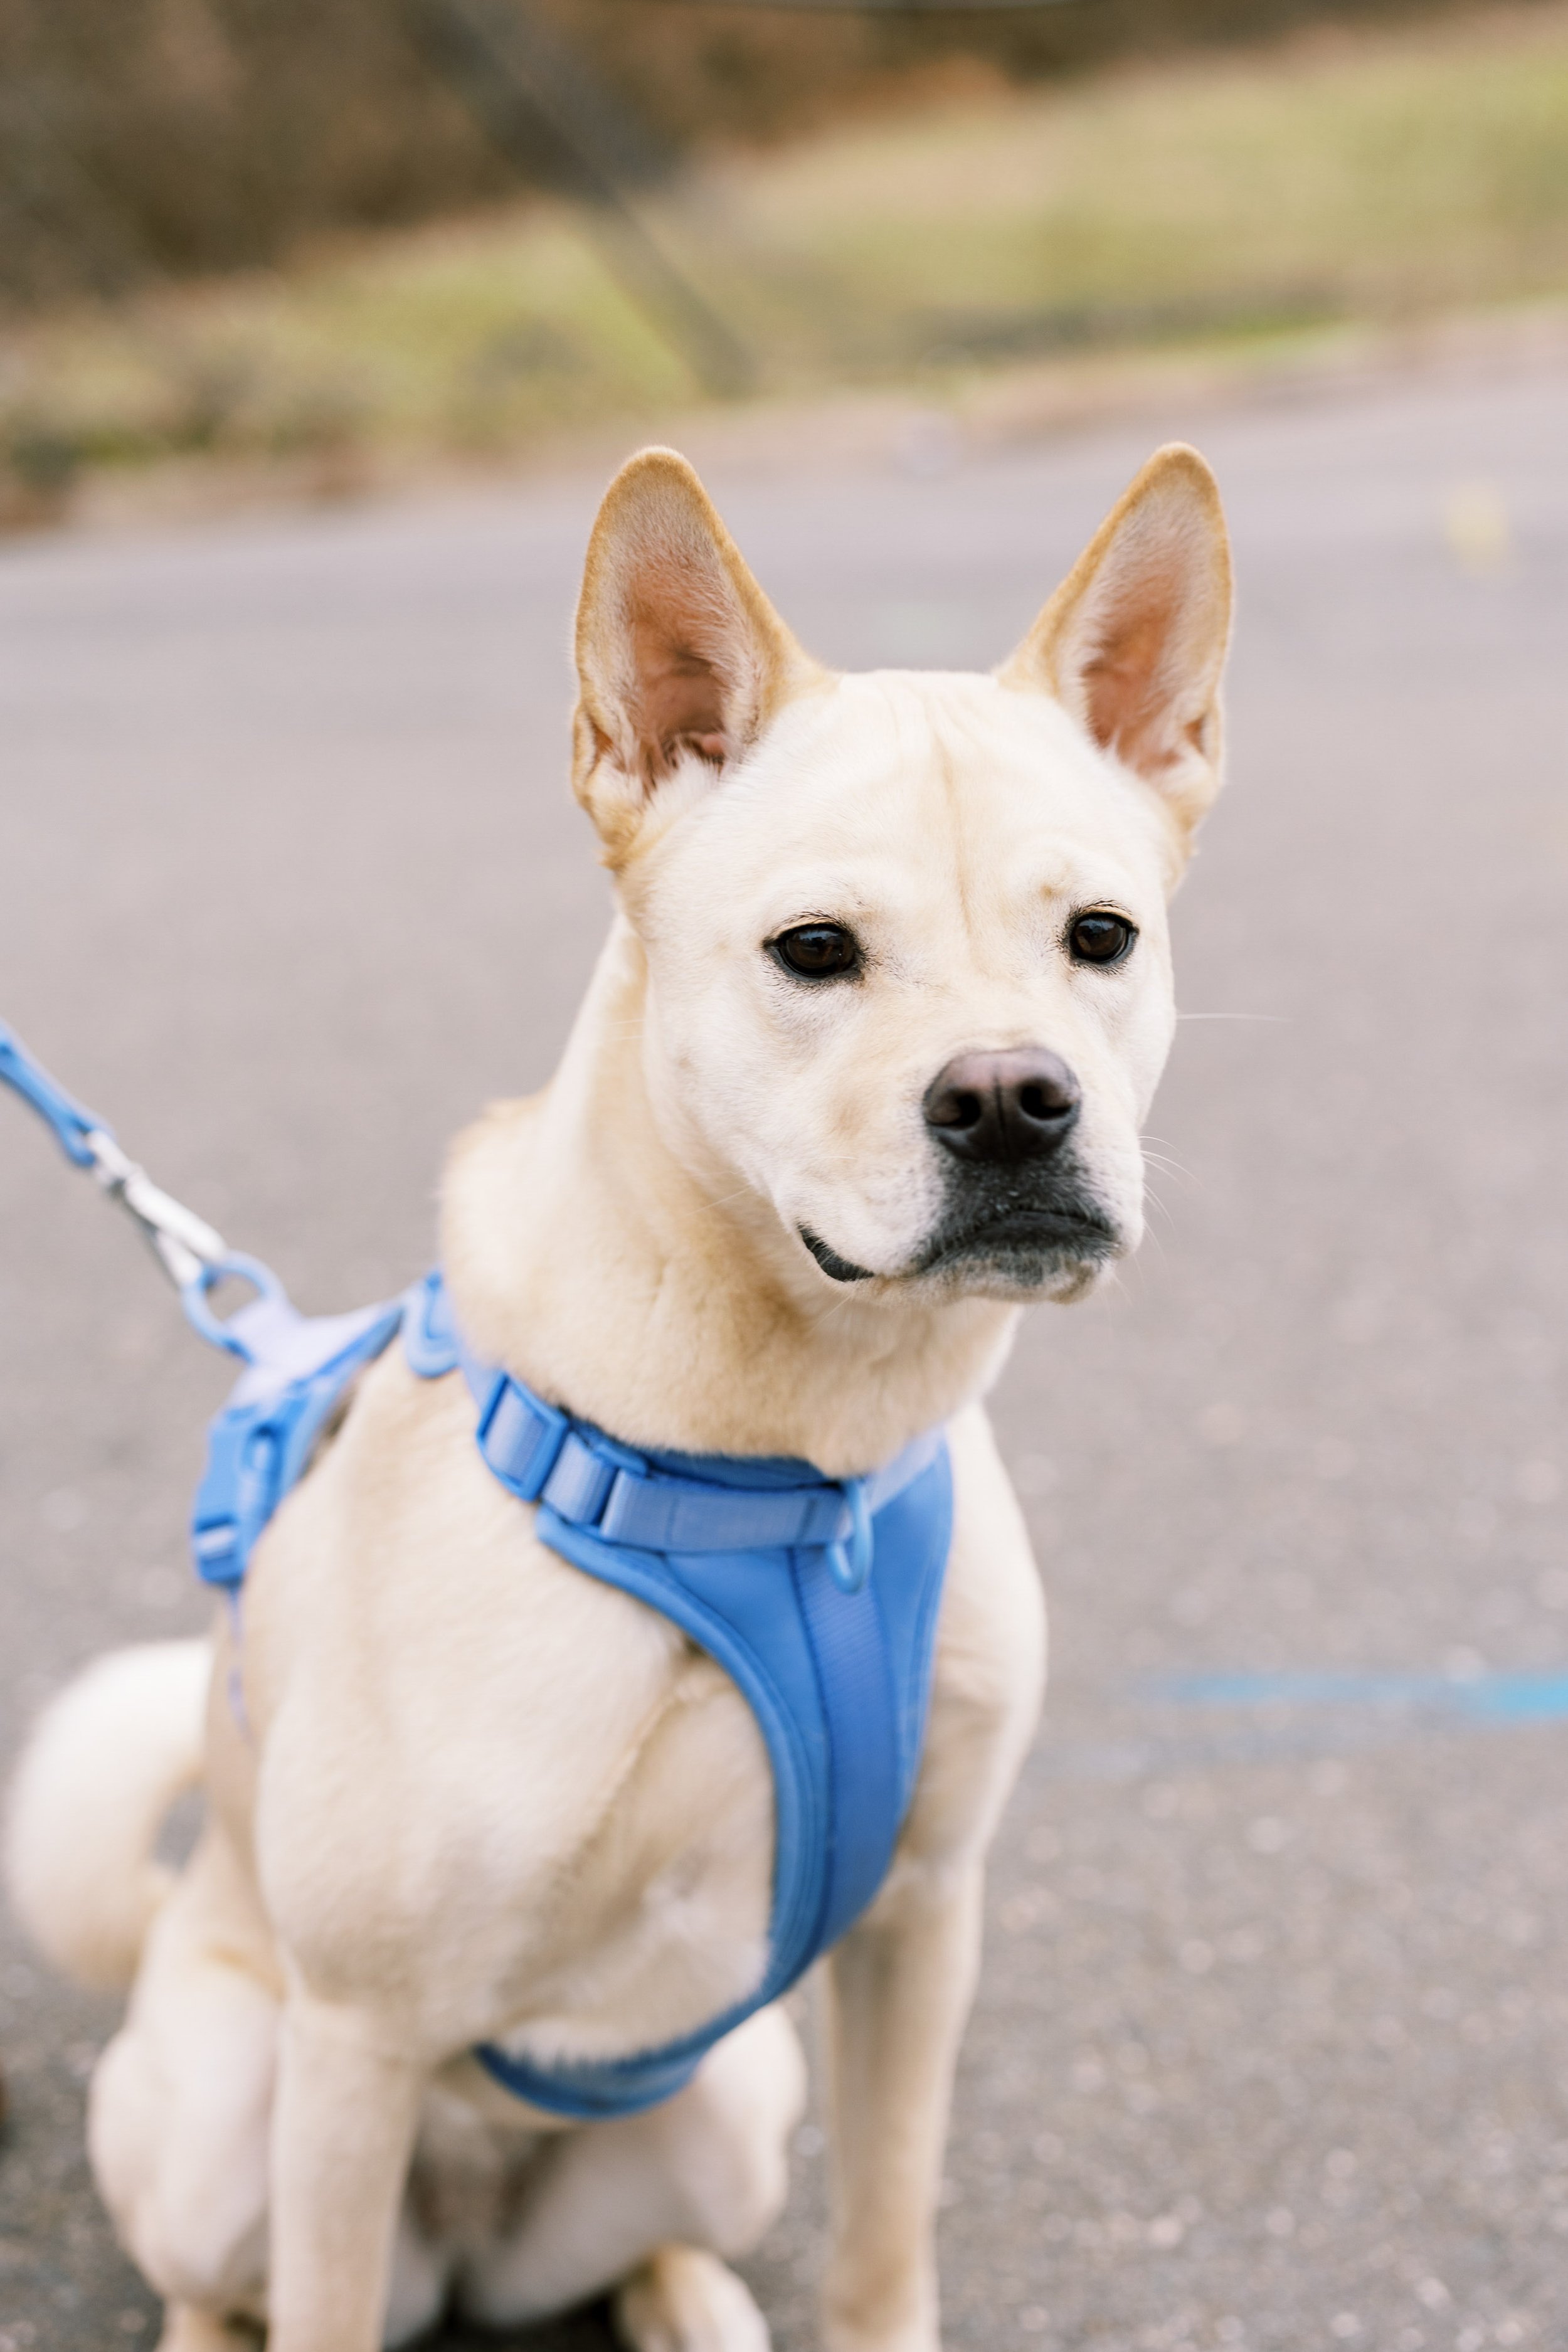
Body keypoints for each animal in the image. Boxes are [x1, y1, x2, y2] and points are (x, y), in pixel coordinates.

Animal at [3, 433, 1222, 2343]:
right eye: (814, 950)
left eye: (1100, 934)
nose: (1016, 1102)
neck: (790, 1466)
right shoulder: (352, 2043)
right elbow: (323, 2304)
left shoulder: (921, 1914)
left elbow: (885, 2238)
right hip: (225, 2104)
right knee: (227, 2285)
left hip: (730, 2102)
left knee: (652, 2236)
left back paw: (694, 2299)